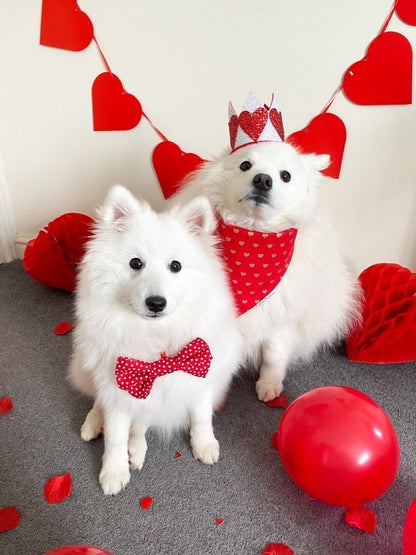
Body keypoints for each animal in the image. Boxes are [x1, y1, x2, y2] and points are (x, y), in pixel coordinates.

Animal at [69, 187, 240, 496]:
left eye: (176, 266)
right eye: (136, 263)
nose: (156, 303)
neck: (156, 337)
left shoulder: (199, 375)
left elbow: (201, 416)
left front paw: (204, 444)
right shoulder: (119, 386)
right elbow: (115, 436)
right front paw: (113, 472)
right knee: (100, 402)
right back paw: (94, 423)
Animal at [172, 93, 360, 402]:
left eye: (285, 176)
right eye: (245, 165)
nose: (262, 179)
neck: (253, 238)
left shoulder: (281, 319)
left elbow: (274, 354)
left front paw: (270, 384)